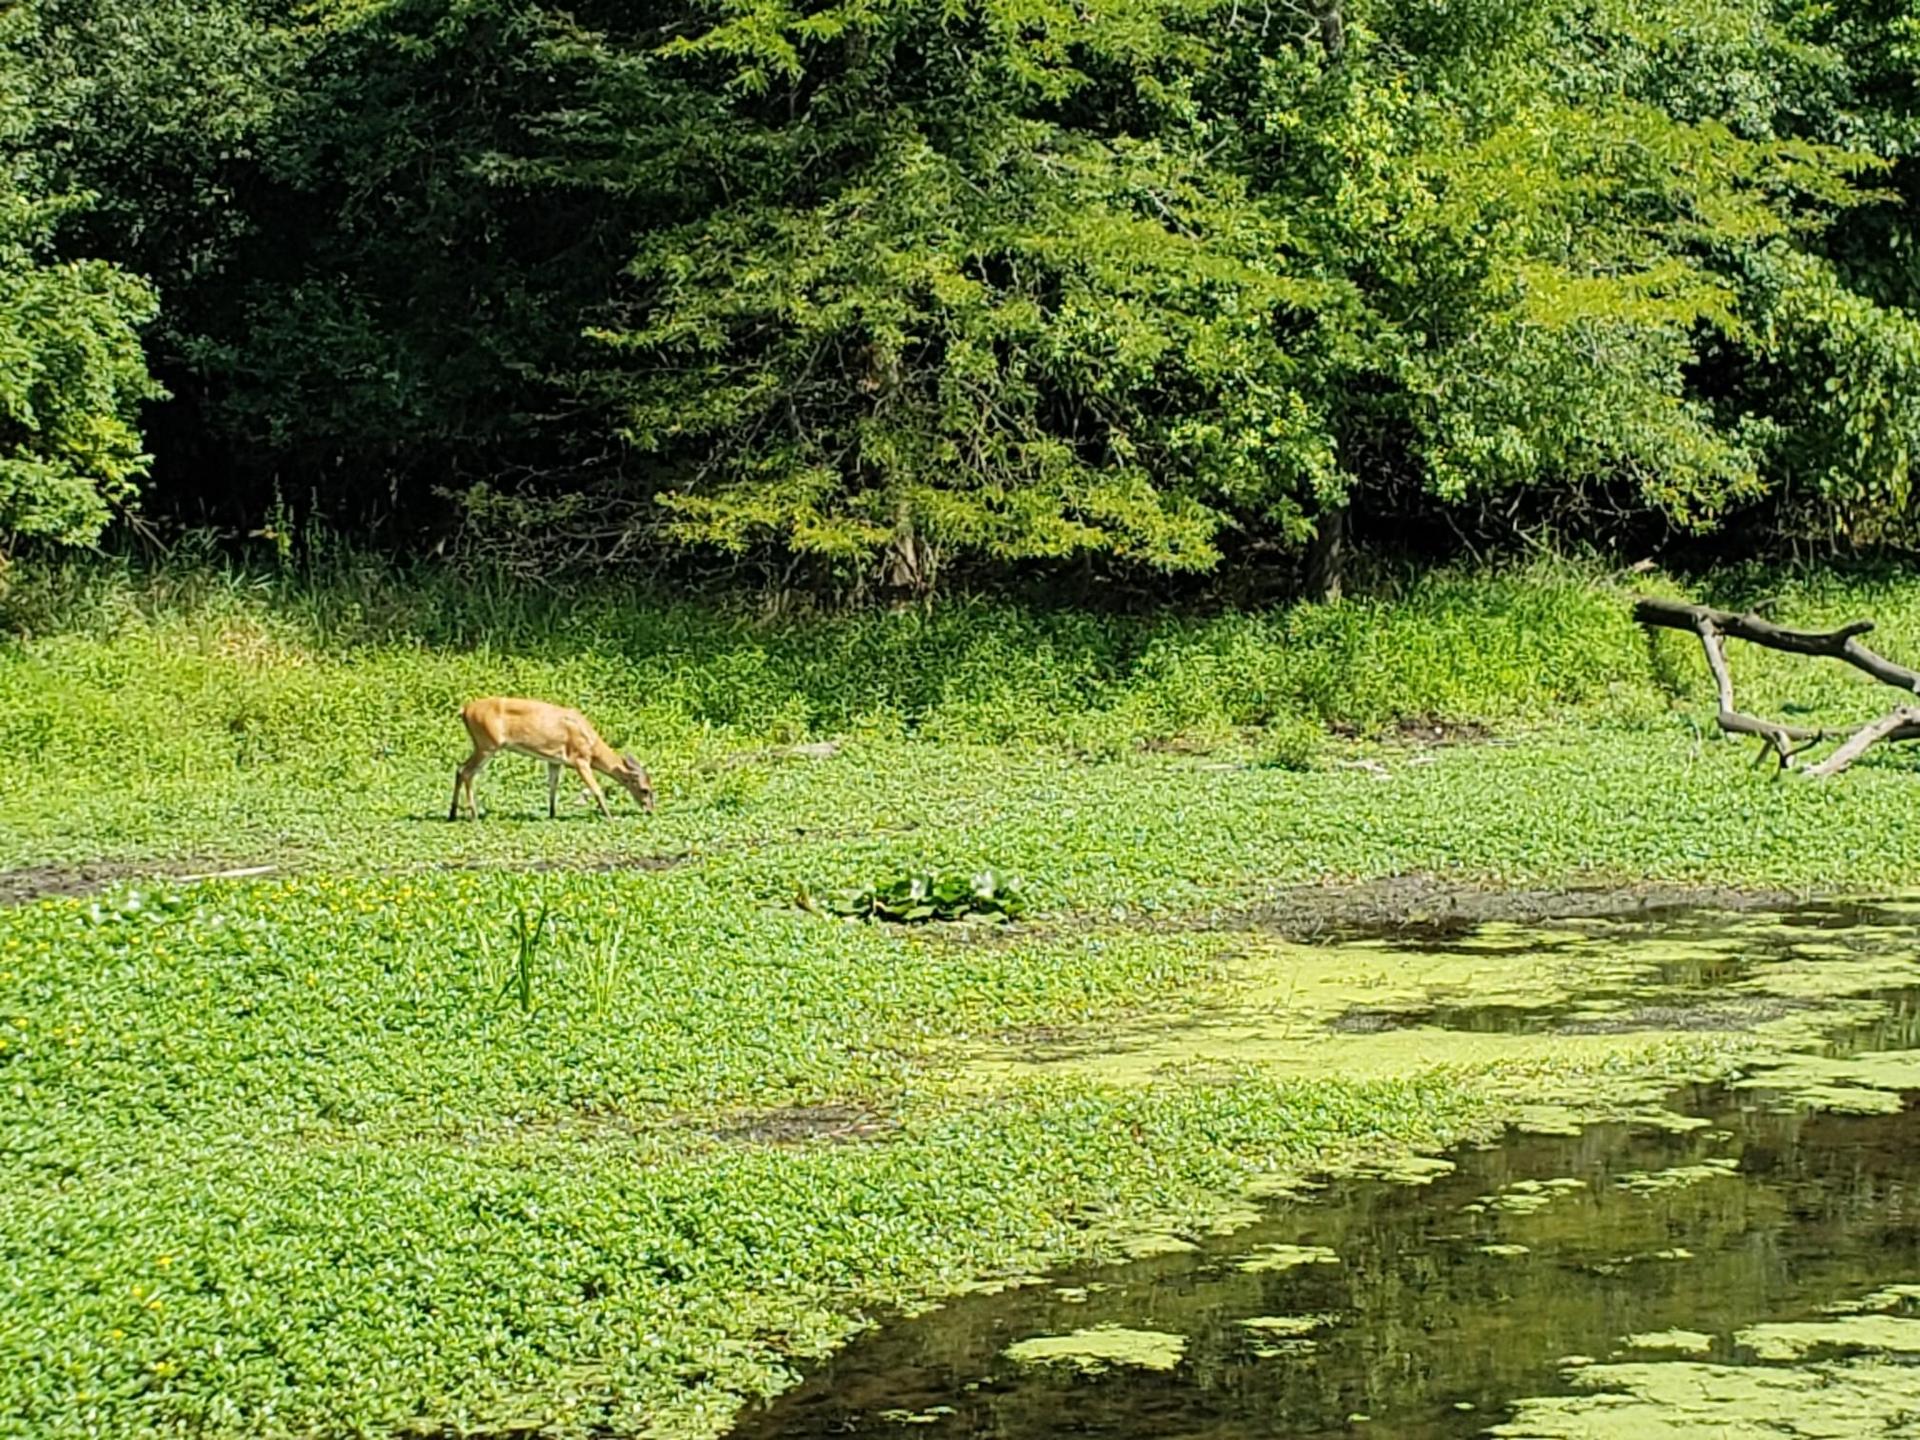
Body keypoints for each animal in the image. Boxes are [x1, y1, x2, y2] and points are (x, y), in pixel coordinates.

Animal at [450, 697, 655, 822]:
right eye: (645, 790)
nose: (651, 810)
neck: (592, 745)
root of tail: (465, 710)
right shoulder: (580, 758)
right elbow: (596, 789)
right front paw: (610, 818)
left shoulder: (555, 760)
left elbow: (553, 787)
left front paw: (552, 814)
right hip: (487, 744)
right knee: (466, 772)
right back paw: (473, 814)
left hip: (481, 744)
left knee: (460, 769)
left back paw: (453, 814)